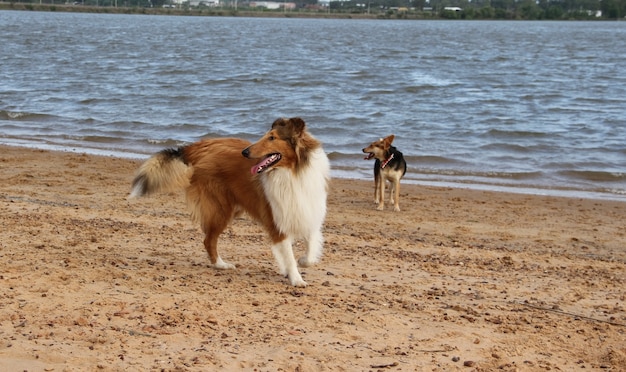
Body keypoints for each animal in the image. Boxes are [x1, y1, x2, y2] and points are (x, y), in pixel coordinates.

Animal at [129, 117, 330, 286]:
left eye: (272, 137)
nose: (245, 152)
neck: (292, 172)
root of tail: (200, 146)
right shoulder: (276, 220)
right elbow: (288, 254)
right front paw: (296, 278)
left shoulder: (308, 211)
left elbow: (311, 246)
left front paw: (301, 262)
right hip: (220, 209)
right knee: (208, 240)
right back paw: (221, 265)